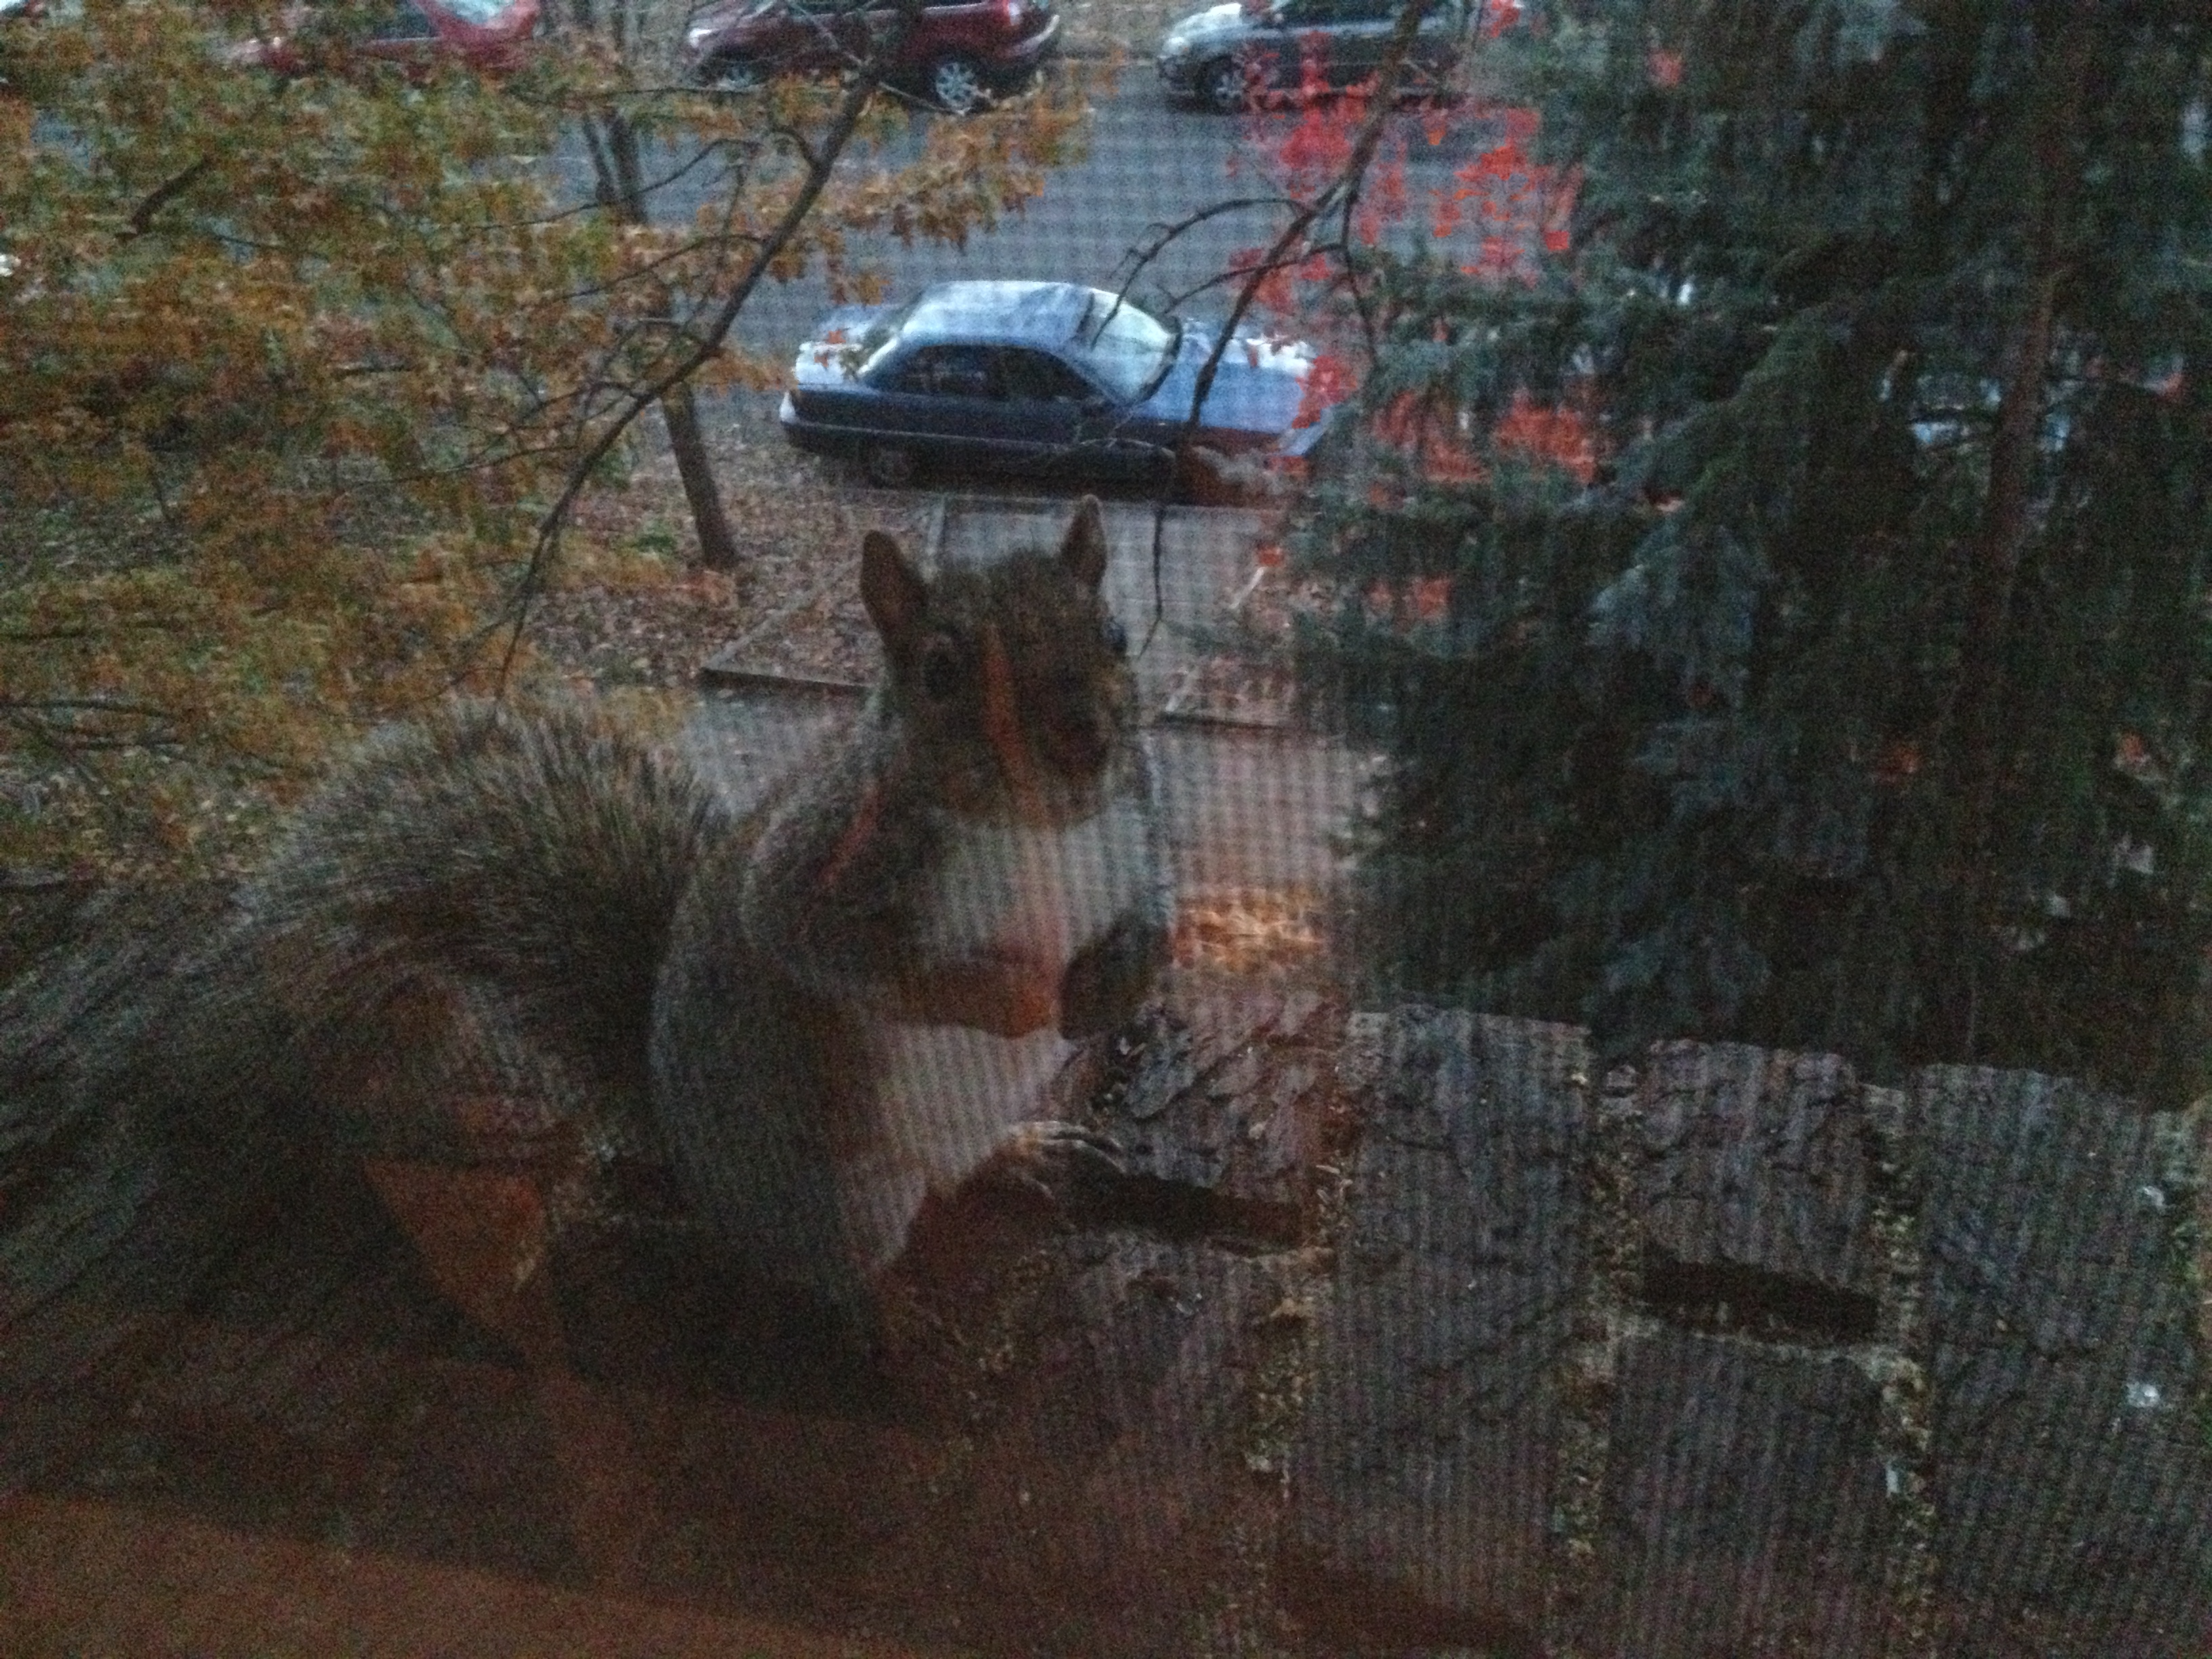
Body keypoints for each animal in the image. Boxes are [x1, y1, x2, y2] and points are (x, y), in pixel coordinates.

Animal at [0, 495, 1172, 1403]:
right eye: (940, 671)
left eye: (1117, 635)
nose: (1085, 739)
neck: (1034, 835)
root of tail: (691, 1158)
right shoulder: (819, 872)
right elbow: (819, 944)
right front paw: (1006, 996)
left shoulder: (1131, 835)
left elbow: (1151, 924)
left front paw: (1108, 983)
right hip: (831, 1189)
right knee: (826, 1270)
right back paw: (890, 1318)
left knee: (959, 1177)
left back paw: (1024, 1150)